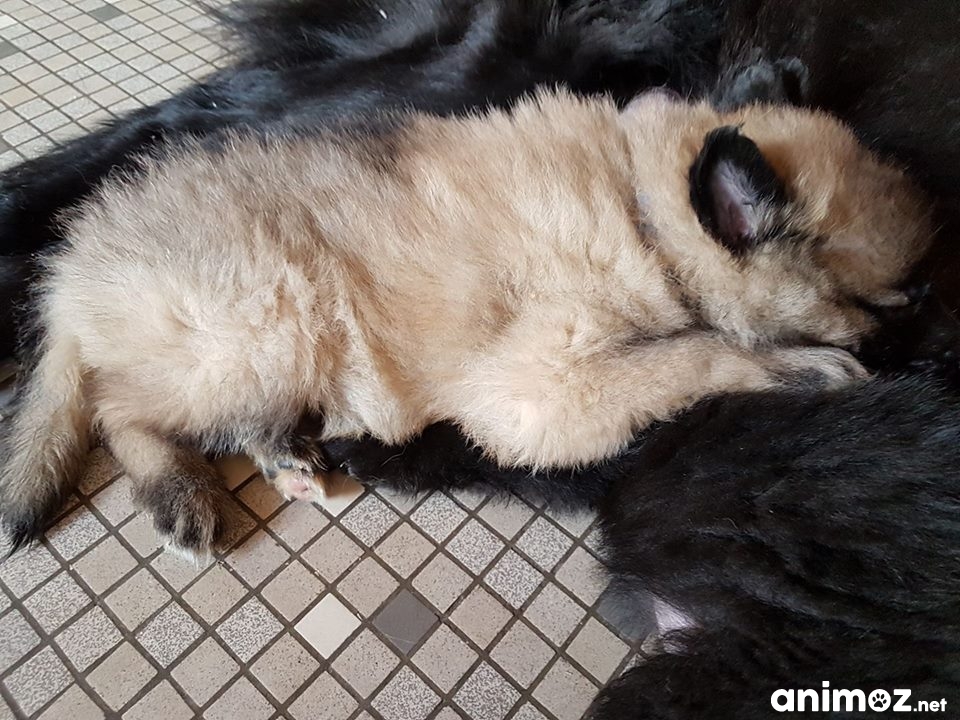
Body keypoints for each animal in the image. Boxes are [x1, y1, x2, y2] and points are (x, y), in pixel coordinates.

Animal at [0, 91, 931, 557]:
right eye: (891, 302)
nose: (921, 353)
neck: (644, 212)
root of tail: (71, 275)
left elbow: (692, 345)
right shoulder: (545, 391)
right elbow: (695, 353)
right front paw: (801, 368)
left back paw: (281, 455)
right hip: (262, 323)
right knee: (118, 410)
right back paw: (179, 492)